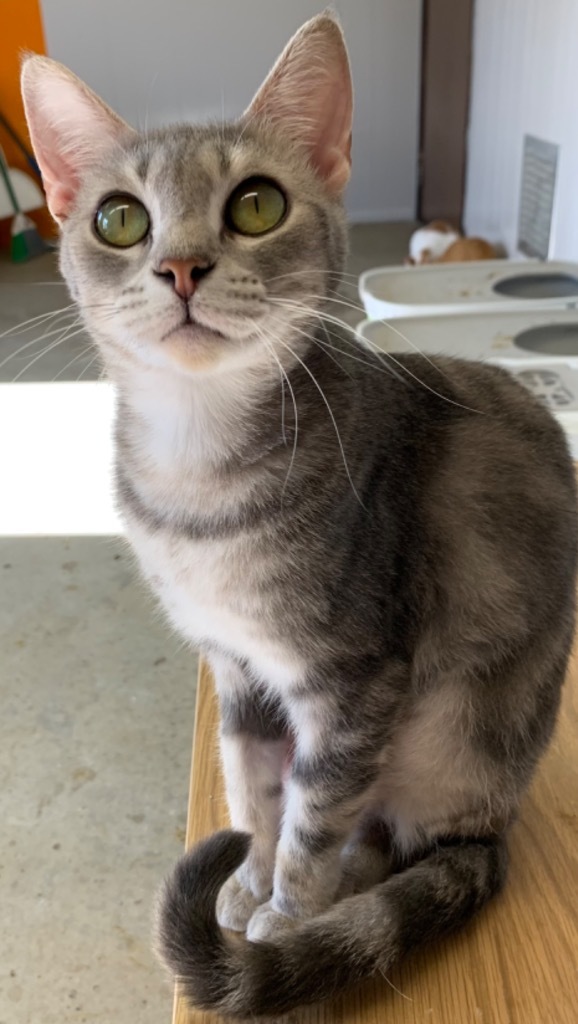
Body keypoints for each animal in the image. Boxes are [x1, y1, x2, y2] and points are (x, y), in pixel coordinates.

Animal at [22, 12, 578, 1019]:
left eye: (255, 205)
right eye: (119, 219)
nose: (181, 266)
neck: (197, 480)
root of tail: (495, 819)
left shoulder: (355, 679)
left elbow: (314, 813)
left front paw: (286, 913)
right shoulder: (237, 667)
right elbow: (251, 787)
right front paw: (248, 876)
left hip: (444, 731)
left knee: (392, 835)